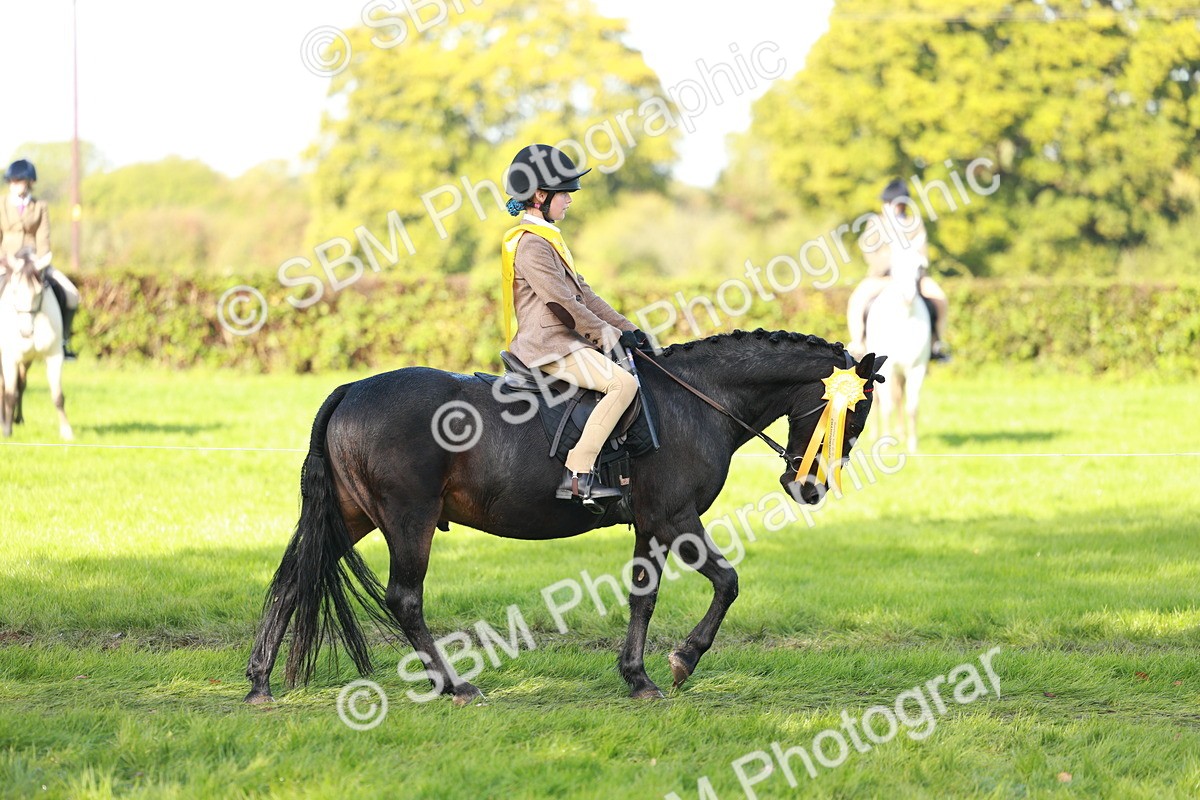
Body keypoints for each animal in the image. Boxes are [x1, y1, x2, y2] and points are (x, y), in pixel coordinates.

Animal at [0, 247, 73, 439]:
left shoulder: (54, 356)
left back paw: (18, 419)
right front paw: (7, 432)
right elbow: (9, 394)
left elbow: (58, 395)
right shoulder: (9, 359)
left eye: (40, 292)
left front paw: (67, 432)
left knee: (21, 384)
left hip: (27, 360)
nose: (26, 332)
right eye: (15, 291)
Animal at [244, 330, 885, 705]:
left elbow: (642, 598)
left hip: (352, 515)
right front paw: (683, 660)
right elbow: (728, 582)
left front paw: (638, 677)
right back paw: (453, 685)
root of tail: (351, 390)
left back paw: (259, 682)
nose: (809, 488)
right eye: (853, 415)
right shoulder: (676, 518)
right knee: (403, 598)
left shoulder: (651, 525)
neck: (695, 398)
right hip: (408, 518)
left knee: (292, 578)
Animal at [864, 253, 930, 452]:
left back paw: (901, 433)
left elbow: (912, 407)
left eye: (920, 267)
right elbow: (887, 406)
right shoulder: (887, 369)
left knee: (899, 397)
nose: (908, 295)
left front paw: (913, 445)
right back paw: (875, 434)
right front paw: (884, 445)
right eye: (893, 268)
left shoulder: (917, 368)